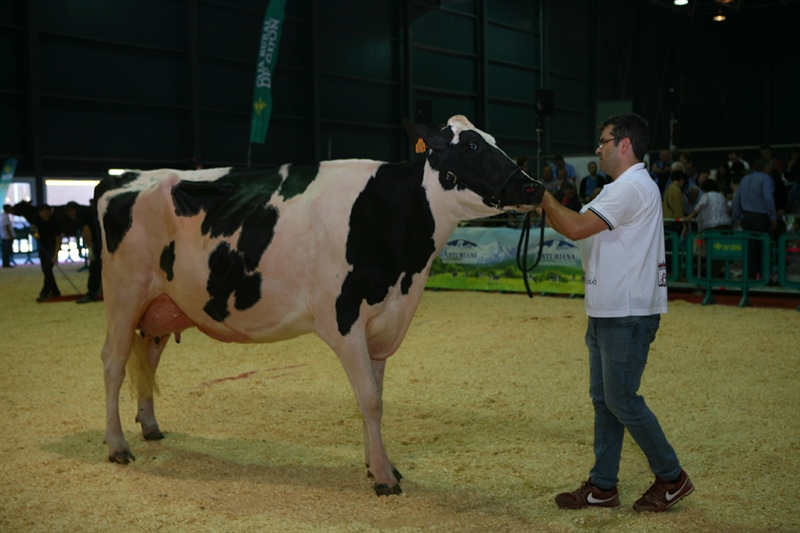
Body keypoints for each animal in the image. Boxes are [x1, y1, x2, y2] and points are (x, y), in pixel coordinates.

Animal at [97, 115, 544, 496]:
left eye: (494, 141)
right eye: (470, 146)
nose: (534, 187)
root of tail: (124, 177)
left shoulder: (381, 325)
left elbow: (374, 399)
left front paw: (377, 464)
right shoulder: (343, 322)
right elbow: (370, 401)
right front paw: (384, 478)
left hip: (162, 303)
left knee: (147, 357)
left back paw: (150, 426)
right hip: (123, 293)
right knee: (114, 362)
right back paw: (117, 446)